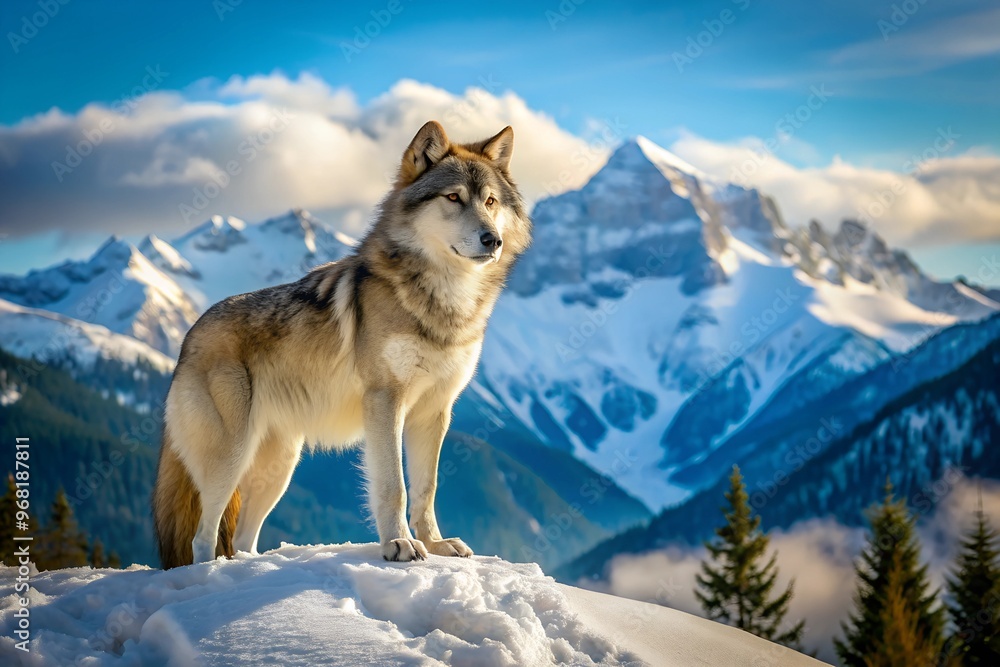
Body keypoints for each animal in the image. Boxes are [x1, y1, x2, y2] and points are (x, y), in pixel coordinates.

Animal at [152, 121, 531, 568]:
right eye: (454, 197)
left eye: (490, 201)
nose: (493, 240)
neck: (444, 301)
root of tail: (188, 337)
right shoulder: (385, 401)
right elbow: (394, 486)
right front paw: (398, 544)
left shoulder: (434, 412)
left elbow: (427, 489)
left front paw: (436, 544)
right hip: (231, 459)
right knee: (203, 535)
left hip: (280, 466)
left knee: (244, 538)